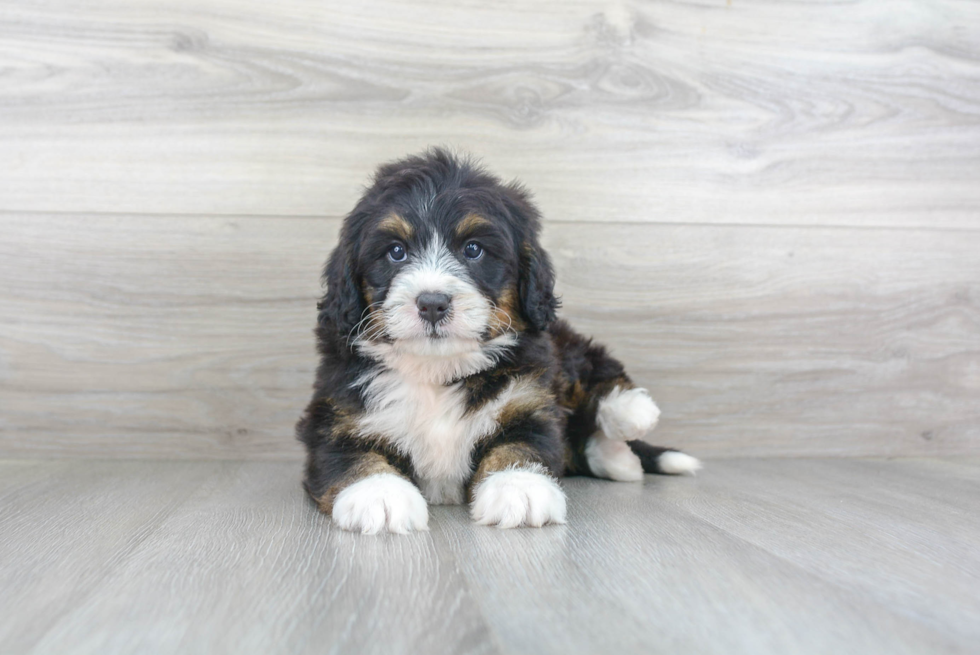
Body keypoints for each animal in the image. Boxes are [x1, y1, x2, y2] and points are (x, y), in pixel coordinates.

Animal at [294, 149, 700, 532]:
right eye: (396, 251)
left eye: (473, 249)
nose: (432, 303)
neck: (438, 370)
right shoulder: (335, 412)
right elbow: (349, 455)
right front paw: (379, 494)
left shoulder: (529, 400)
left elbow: (522, 443)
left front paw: (519, 487)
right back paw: (618, 459)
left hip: (561, 348)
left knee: (590, 364)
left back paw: (630, 412)